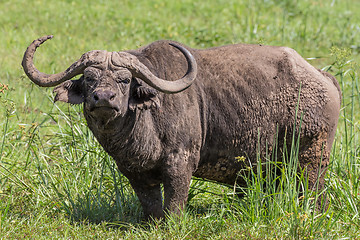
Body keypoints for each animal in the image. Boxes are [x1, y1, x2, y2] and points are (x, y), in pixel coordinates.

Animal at [21, 35, 340, 219]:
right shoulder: (133, 171)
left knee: (315, 194)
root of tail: (323, 78)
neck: (143, 126)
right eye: (89, 78)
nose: (103, 98)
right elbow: (150, 203)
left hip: (311, 160)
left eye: (125, 80)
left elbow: (175, 201)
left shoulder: (180, 161)